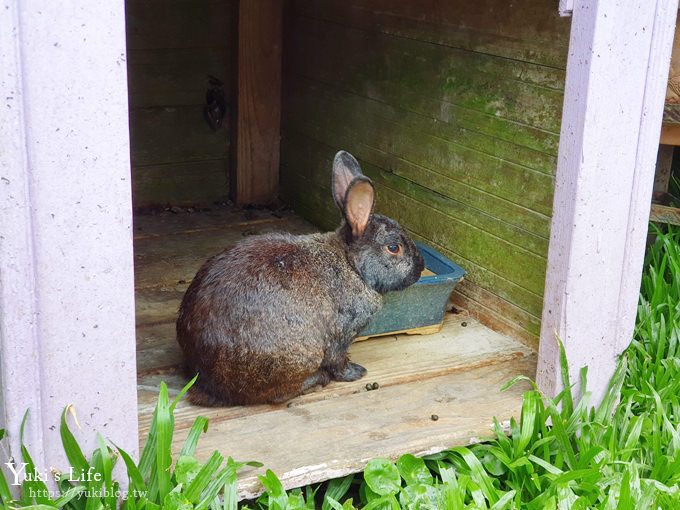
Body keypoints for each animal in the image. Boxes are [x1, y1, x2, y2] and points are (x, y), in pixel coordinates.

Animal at [175, 149, 424, 404]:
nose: (420, 267)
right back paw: (318, 380)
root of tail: (207, 383)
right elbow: (338, 360)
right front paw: (355, 372)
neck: (352, 265)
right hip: (300, 356)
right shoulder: (341, 334)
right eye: (393, 248)